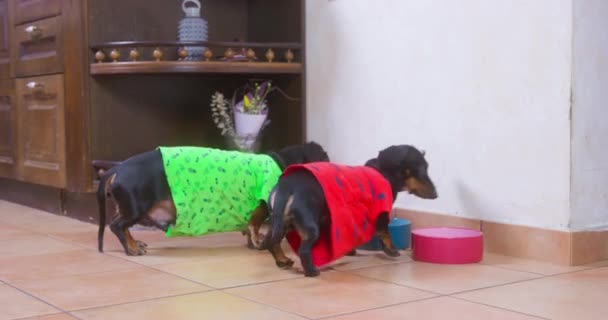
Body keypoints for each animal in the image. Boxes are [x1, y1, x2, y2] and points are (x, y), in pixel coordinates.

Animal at [97, 141, 330, 256]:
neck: (281, 160)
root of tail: (117, 168)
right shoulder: (264, 205)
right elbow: (256, 225)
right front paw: (259, 242)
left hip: (130, 208)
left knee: (122, 226)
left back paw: (135, 243)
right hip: (136, 207)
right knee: (117, 226)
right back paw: (132, 249)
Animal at [262, 146, 436, 278]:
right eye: (422, 171)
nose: (436, 195)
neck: (382, 172)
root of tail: (286, 188)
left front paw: (350, 251)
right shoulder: (380, 213)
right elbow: (385, 233)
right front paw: (392, 250)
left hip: (279, 222)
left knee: (271, 242)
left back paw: (282, 261)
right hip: (309, 227)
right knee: (303, 250)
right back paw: (312, 271)